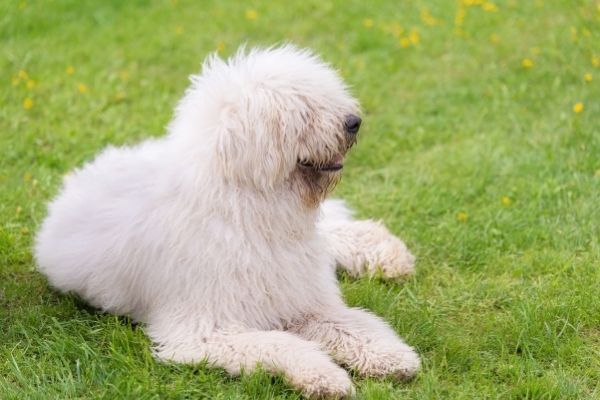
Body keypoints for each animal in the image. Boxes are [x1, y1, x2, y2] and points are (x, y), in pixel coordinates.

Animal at [35, 44, 420, 396]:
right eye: (303, 110)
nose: (354, 122)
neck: (249, 211)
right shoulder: (204, 330)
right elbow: (282, 344)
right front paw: (324, 376)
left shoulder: (304, 302)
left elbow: (356, 323)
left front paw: (391, 356)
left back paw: (390, 255)